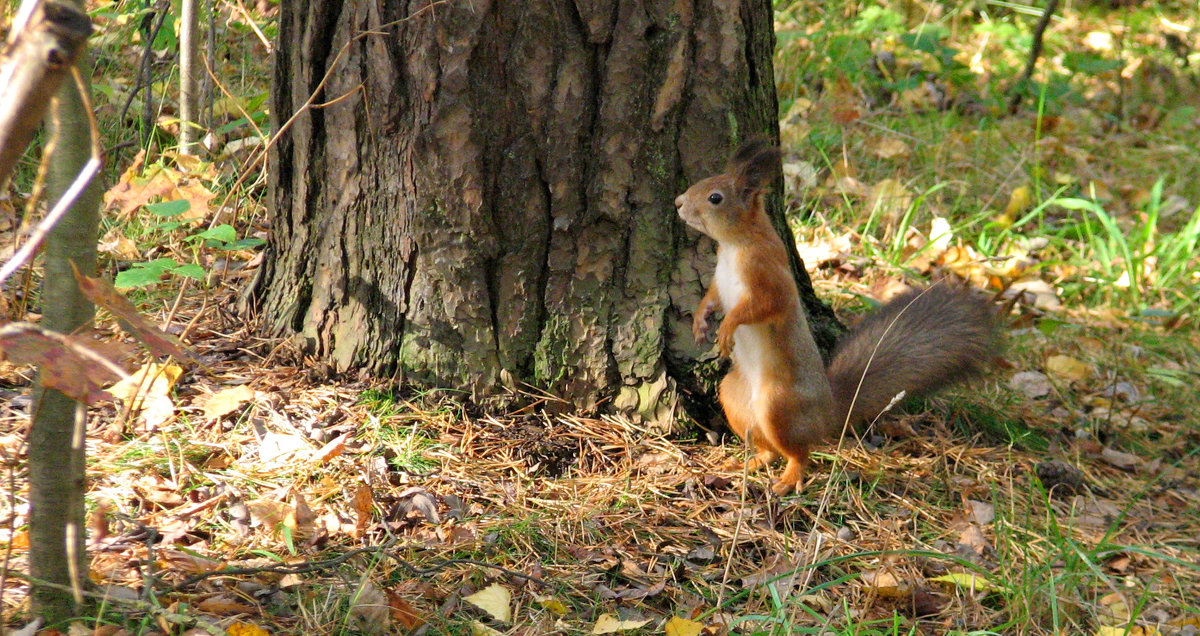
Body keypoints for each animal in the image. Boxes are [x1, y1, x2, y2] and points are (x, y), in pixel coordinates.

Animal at [676, 137, 993, 494]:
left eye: (715, 198)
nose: (678, 203)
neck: (735, 244)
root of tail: (827, 413)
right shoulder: (720, 279)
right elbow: (713, 298)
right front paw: (700, 322)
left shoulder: (768, 275)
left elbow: (761, 306)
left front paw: (727, 327)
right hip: (733, 397)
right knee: (769, 448)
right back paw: (752, 462)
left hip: (779, 404)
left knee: (799, 451)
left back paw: (789, 479)